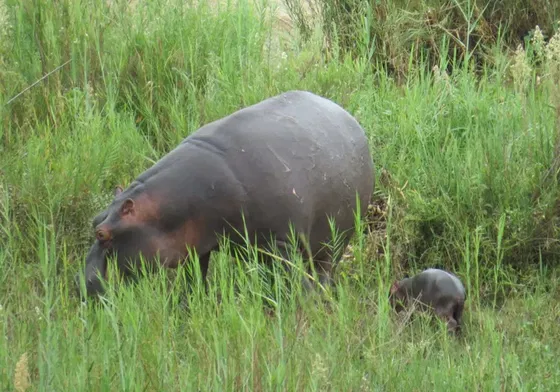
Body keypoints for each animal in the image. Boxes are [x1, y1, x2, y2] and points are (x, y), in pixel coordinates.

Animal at [76, 90, 376, 298]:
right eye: (95, 219)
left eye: (101, 234)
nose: (82, 284)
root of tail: (349, 117)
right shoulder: (195, 245)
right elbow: (195, 279)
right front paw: (190, 303)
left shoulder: (281, 242)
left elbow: (294, 278)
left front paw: (304, 301)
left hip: (335, 239)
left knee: (323, 269)